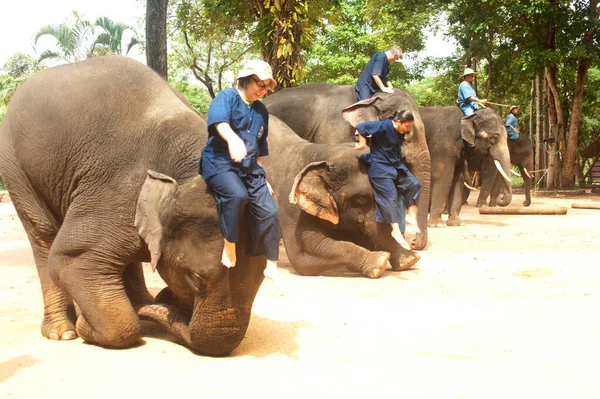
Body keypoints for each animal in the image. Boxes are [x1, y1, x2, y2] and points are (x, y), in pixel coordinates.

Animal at [0, 55, 264, 356]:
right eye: (196, 279)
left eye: (261, 279)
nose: (165, 303)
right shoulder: (115, 189)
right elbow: (71, 258)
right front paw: (85, 327)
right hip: (15, 165)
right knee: (42, 235)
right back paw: (63, 331)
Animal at [260, 115, 420, 278]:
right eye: (361, 199)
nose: (412, 245)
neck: (318, 153)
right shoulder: (291, 205)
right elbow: (304, 251)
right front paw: (380, 262)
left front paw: (409, 260)